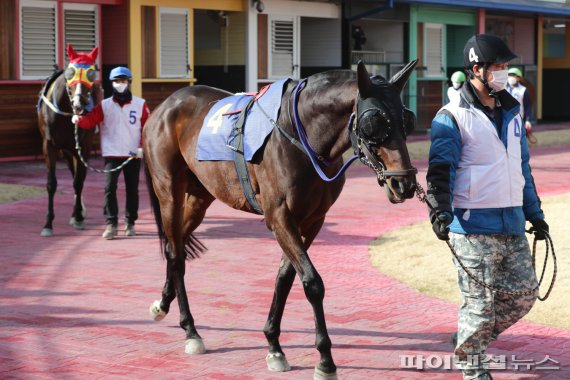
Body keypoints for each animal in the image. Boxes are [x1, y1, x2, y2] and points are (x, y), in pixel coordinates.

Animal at [37, 43, 99, 235]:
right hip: (66, 150)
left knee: (79, 177)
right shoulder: (49, 145)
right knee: (73, 172)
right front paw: (48, 223)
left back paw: (77, 212)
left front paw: (78, 217)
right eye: (70, 73)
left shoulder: (83, 146)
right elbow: (51, 183)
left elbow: (78, 181)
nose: (79, 105)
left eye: (92, 74)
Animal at [142, 60, 418, 378]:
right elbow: (312, 282)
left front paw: (274, 344)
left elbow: (285, 278)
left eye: (406, 120)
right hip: (169, 193)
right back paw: (191, 330)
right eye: (374, 123)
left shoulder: (311, 221)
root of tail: (164, 107)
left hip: (201, 196)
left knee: (175, 247)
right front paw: (325, 359)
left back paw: (164, 303)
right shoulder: (279, 218)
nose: (404, 183)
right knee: (176, 253)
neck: (301, 136)